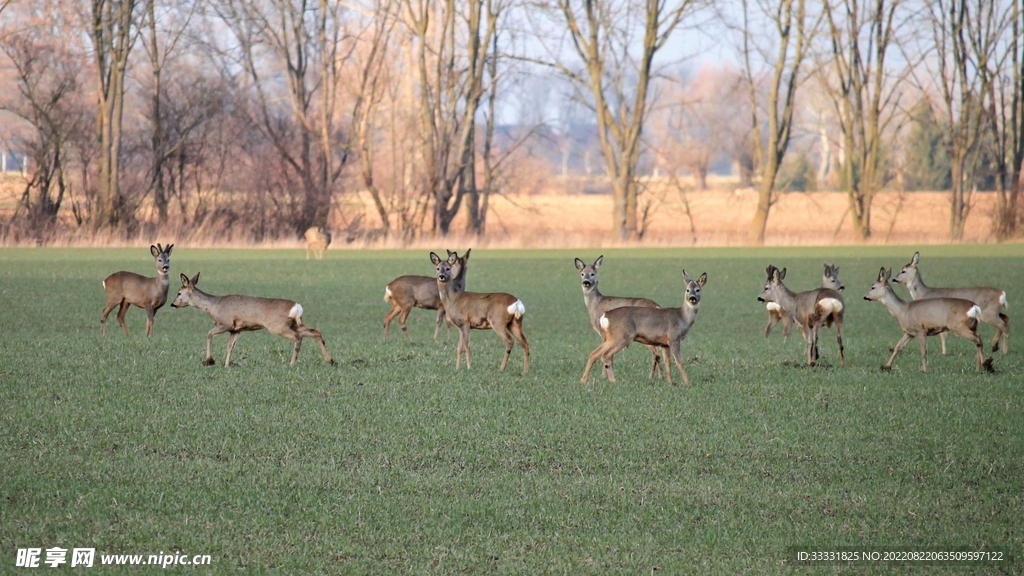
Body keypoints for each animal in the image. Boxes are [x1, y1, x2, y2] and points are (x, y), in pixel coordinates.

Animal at [170, 272, 334, 367]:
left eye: (179, 293)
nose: (172, 304)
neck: (213, 306)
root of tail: (297, 306)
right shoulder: (236, 329)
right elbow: (230, 346)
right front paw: (227, 364)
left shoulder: (226, 323)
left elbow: (209, 334)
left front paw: (209, 360)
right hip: (294, 324)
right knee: (315, 332)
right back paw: (331, 361)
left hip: (278, 326)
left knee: (298, 337)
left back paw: (292, 363)